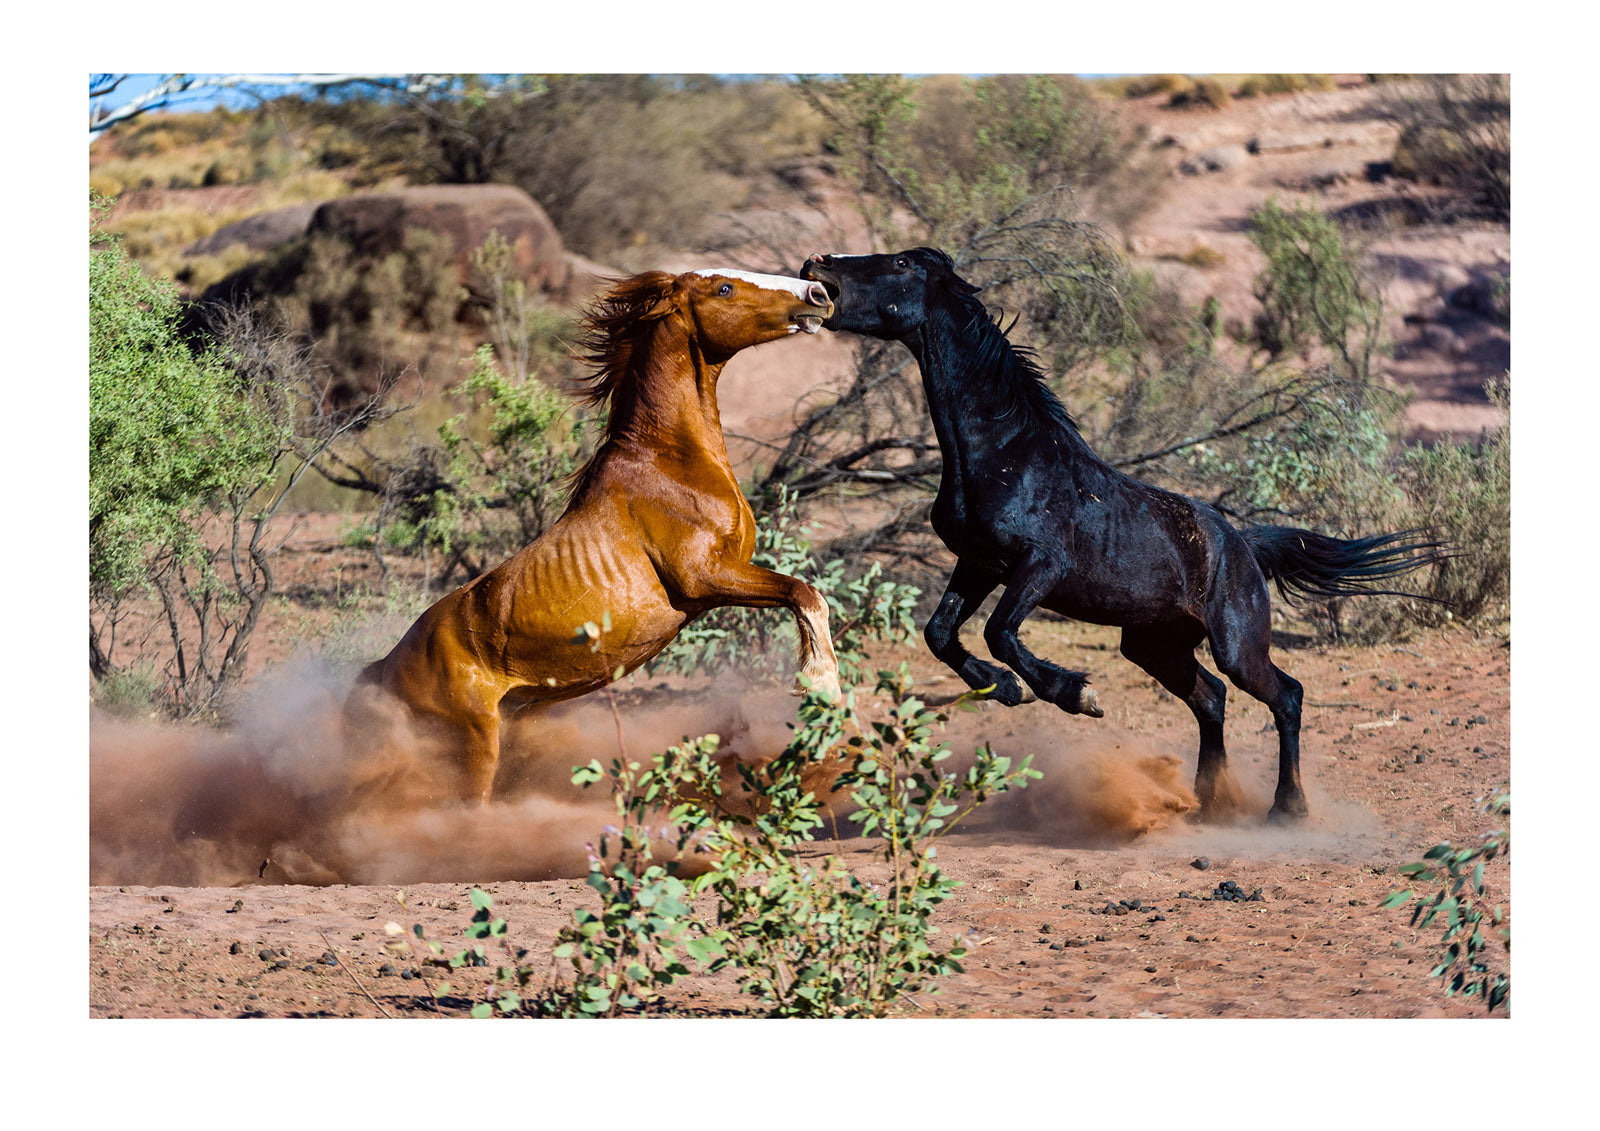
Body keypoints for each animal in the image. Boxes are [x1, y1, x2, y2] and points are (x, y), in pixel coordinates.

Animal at [345, 268, 844, 799]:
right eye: (723, 289)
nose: (819, 294)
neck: (671, 462)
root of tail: (384, 670)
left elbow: (807, 595)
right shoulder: (705, 579)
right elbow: (805, 594)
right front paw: (822, 693)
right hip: (472, 748)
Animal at [806, 247, 1446, 819]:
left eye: (899, 264)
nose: (819, 264)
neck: (1006, 453)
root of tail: (1244, 544)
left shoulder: (1041, 565)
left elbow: (999, 632)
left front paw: (1076, 695)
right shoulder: (978, 562)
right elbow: (942, 633)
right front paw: (1006, 689)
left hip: (1236, 644)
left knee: (1284, 695)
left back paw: (1287, 809)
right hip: (1153, 645)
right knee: (1210, 699)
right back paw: (1209, 804)